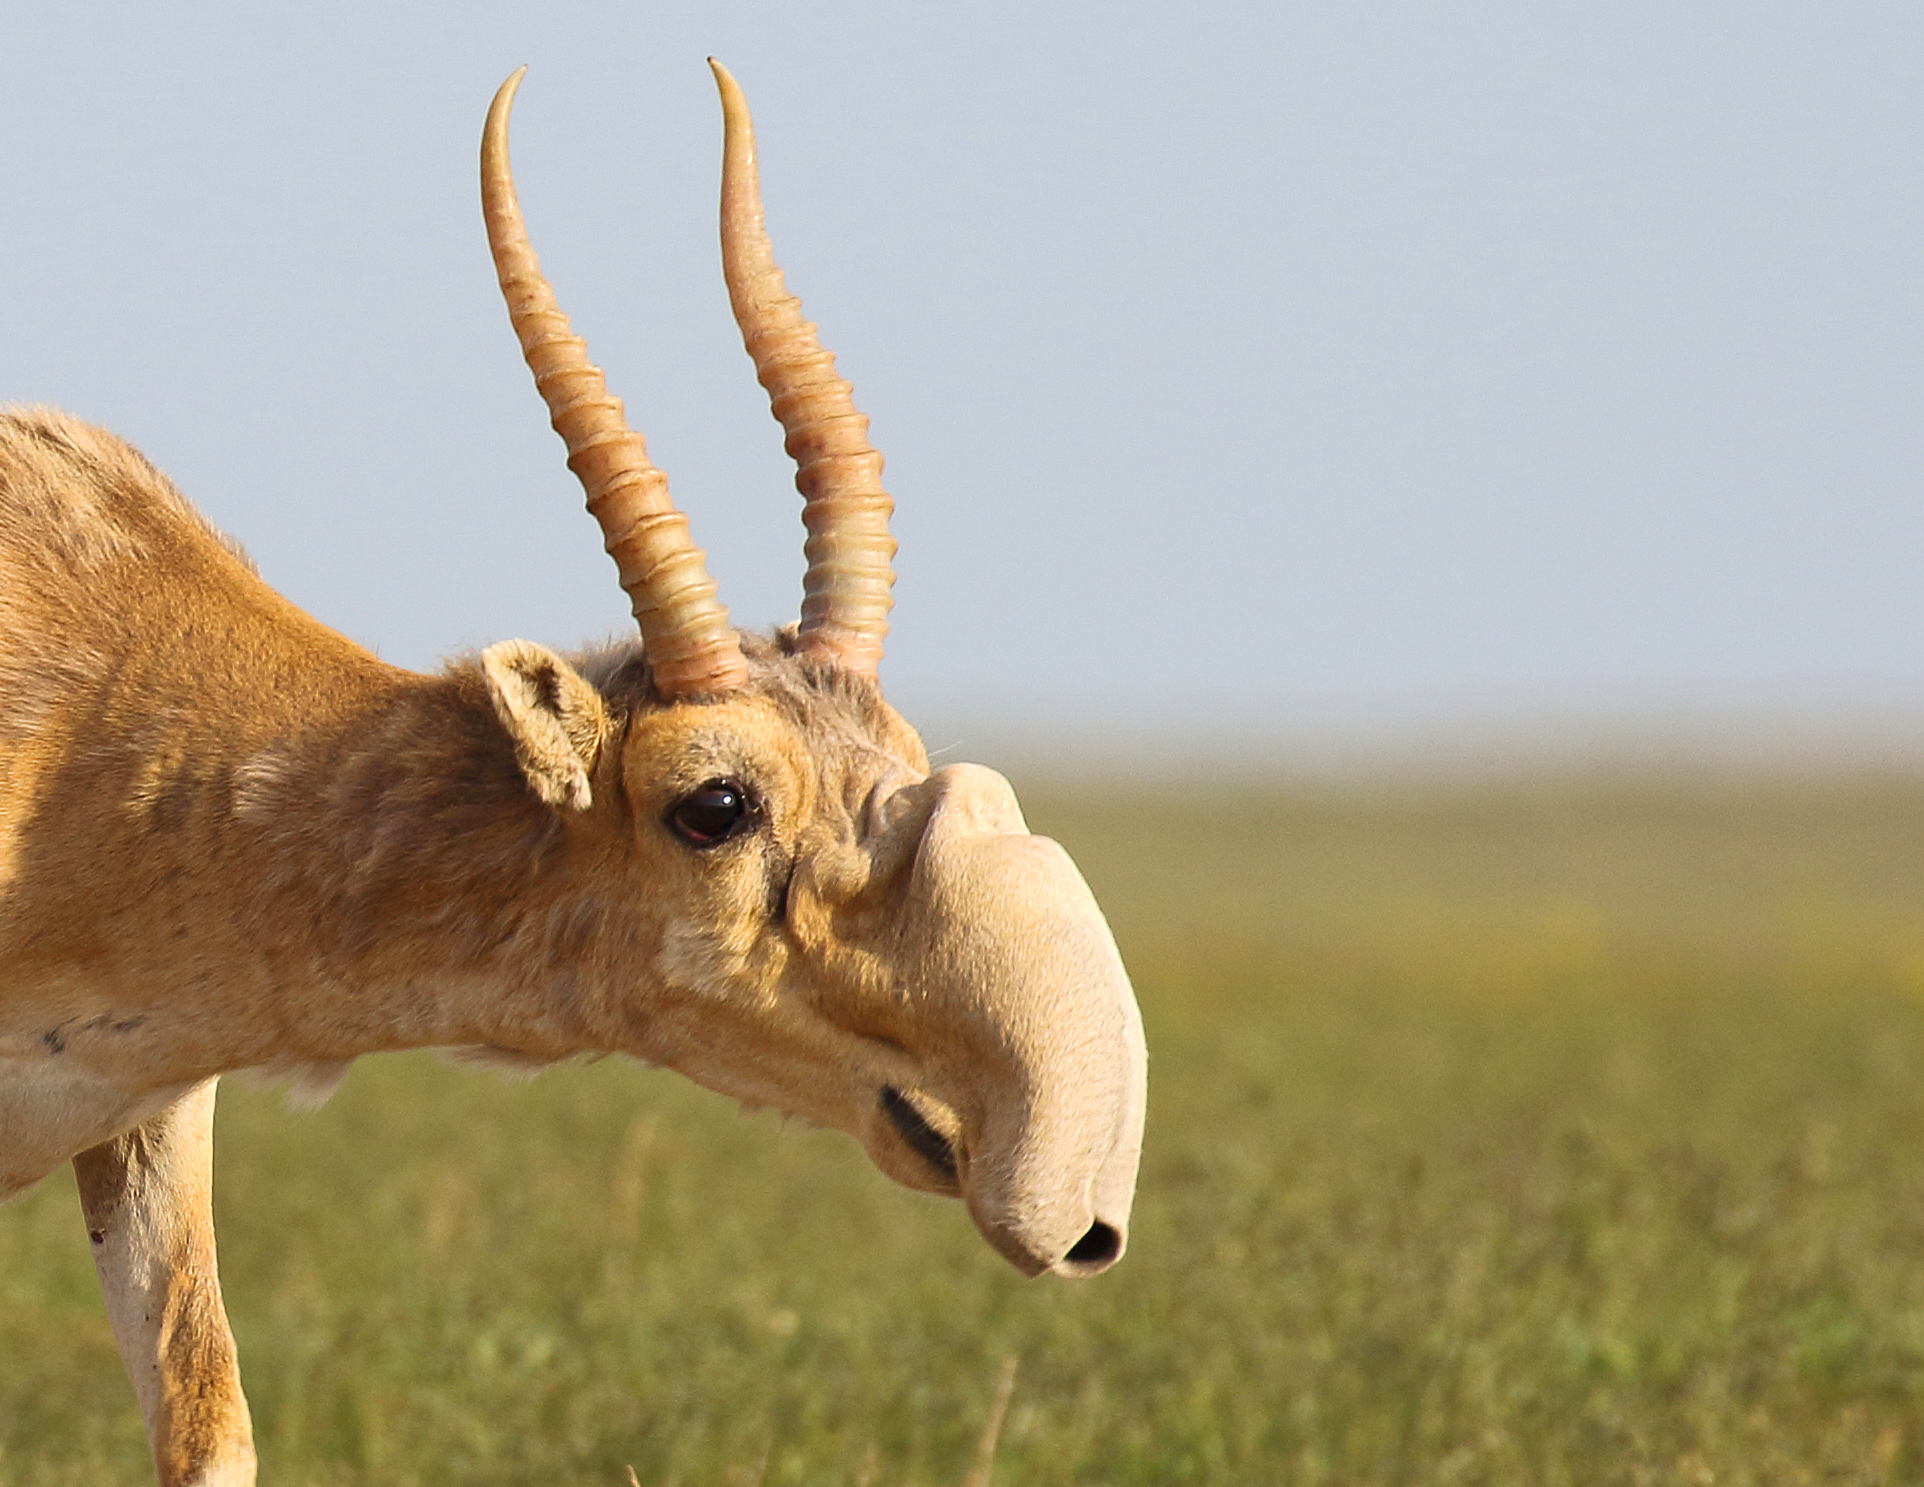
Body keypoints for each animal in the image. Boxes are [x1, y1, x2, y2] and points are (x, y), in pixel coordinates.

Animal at [0, 63, 1139, 1477]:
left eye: (902, 759)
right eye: (713, 802)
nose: (1070, 1201)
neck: (93, 702)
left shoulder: (149, 1109)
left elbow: (209, 1424)